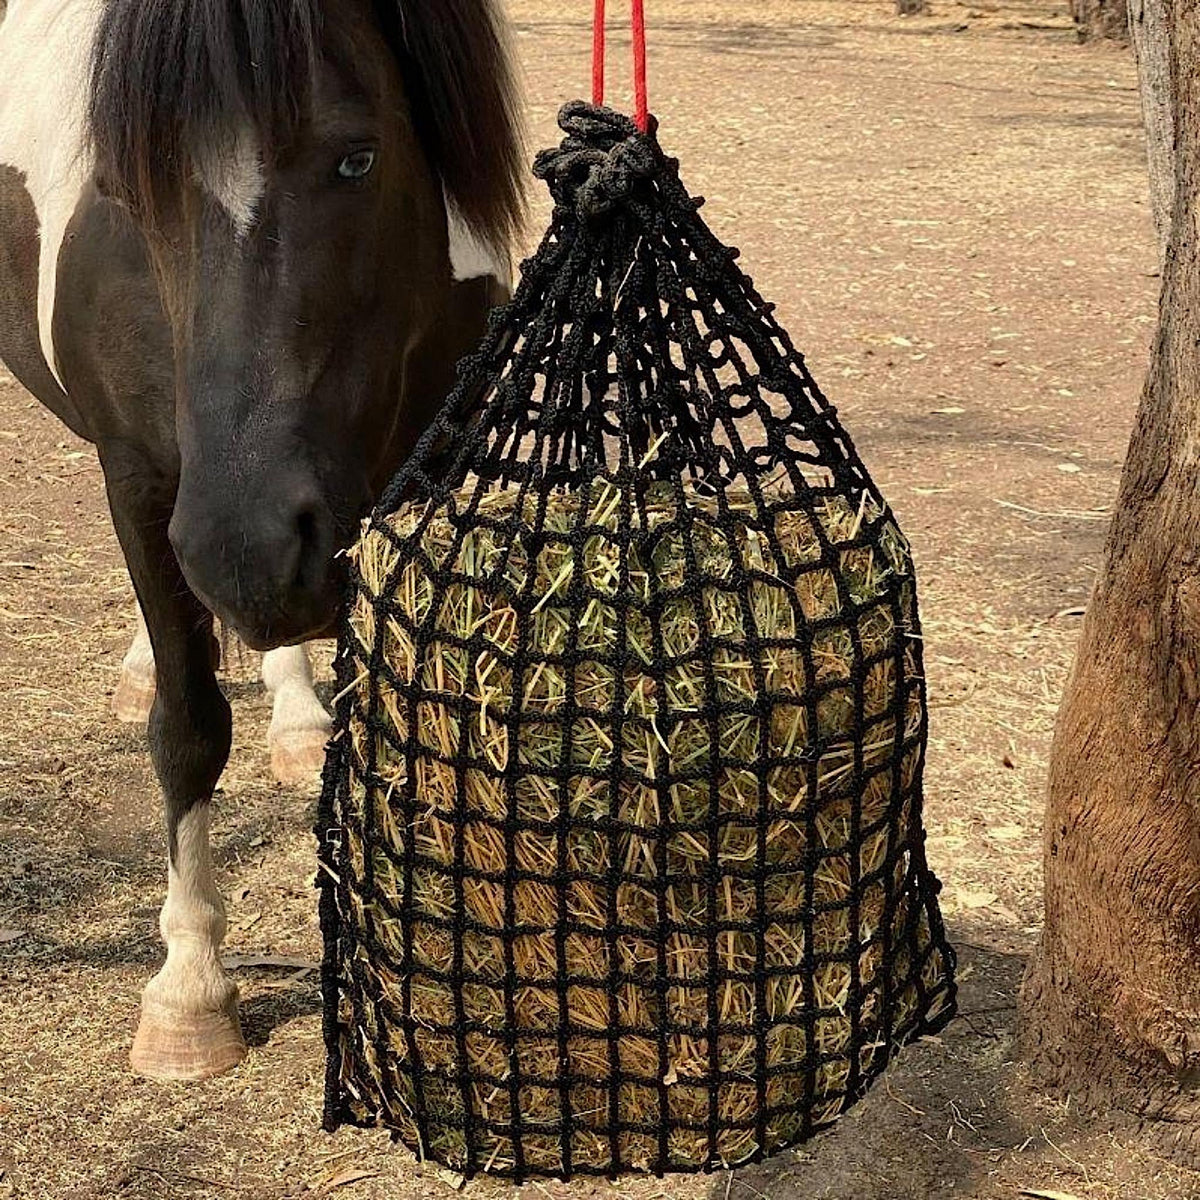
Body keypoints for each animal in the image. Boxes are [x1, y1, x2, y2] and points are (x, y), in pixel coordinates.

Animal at [0, 0, 524, 1080]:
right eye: (127, 189)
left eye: (359, 159)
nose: (245, 551)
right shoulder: (141, 482)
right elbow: (189, 726)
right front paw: (190, 991)